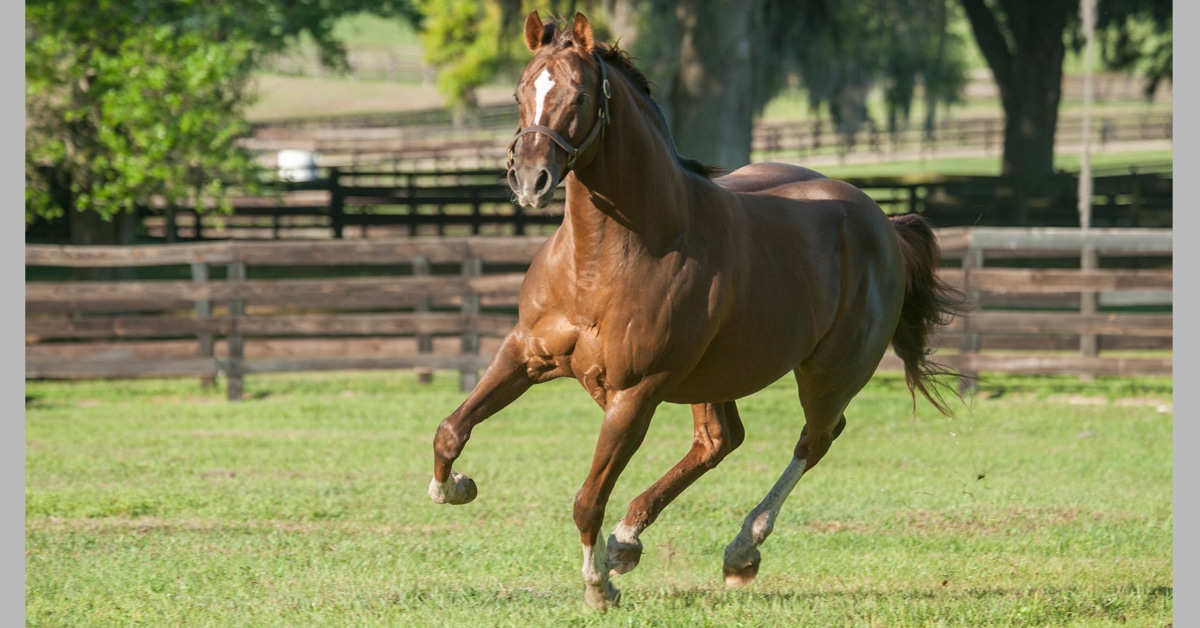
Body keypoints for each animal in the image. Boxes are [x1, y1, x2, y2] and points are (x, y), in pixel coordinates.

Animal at [430, 11, 962, 610]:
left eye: (579, 93)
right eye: (521, 91)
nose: (529, 180)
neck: (607, 257)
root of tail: (883, 222)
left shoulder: (635, 393)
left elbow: (588, 499)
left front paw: (598, 586)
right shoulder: (525, 354)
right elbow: (451, 429)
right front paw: (455, 486)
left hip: (828, 373)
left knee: (815, 438)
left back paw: (740, 551)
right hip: (714, 377)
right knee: (720, 440)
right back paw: (628, 541)